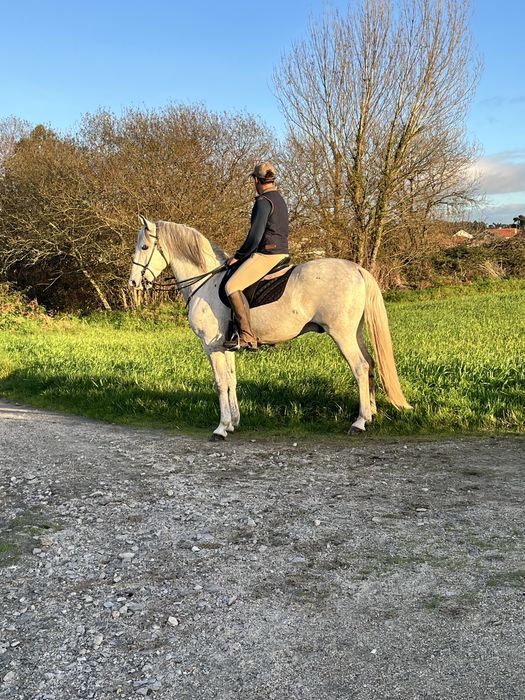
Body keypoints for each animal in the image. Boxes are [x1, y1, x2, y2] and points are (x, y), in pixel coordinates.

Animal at [129, 216, 411, 440]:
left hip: (342, 335)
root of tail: (356, 269)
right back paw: (371, 415)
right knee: (370, 364)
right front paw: (233, 423)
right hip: (355, 333)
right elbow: (232, 380)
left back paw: (360, 422)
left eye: (144, 246)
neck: (206, 282)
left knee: (360, 367)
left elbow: (220, 383)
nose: (133, 282)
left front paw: (221, 428)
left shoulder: (212, 346)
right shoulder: (226, 346)